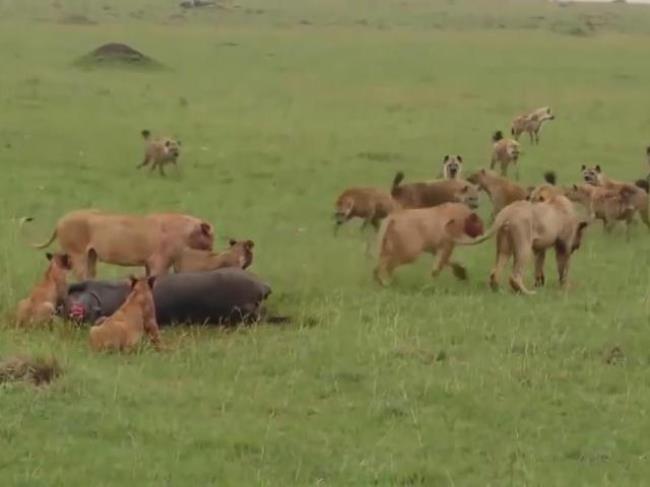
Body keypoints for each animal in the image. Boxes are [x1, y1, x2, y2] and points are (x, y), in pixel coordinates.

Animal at [22, 212, 214, 280]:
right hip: (78, 254)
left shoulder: (149, 263)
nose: (213, 248)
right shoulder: (159, 262)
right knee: (81, 276)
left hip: (91, 255)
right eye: (211, 236)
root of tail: (60, 220)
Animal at [450, 193, 588, 294]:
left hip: (504, 247)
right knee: (514, 275)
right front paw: (565, 287)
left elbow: (539, 265)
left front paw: (540, 284)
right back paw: (527, 293)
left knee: (495, 272)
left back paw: (499, 291)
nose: (578, 246)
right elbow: (564, 267)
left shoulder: (540, 248)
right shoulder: (563, 247)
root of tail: (506, 212)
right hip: (524, 245)